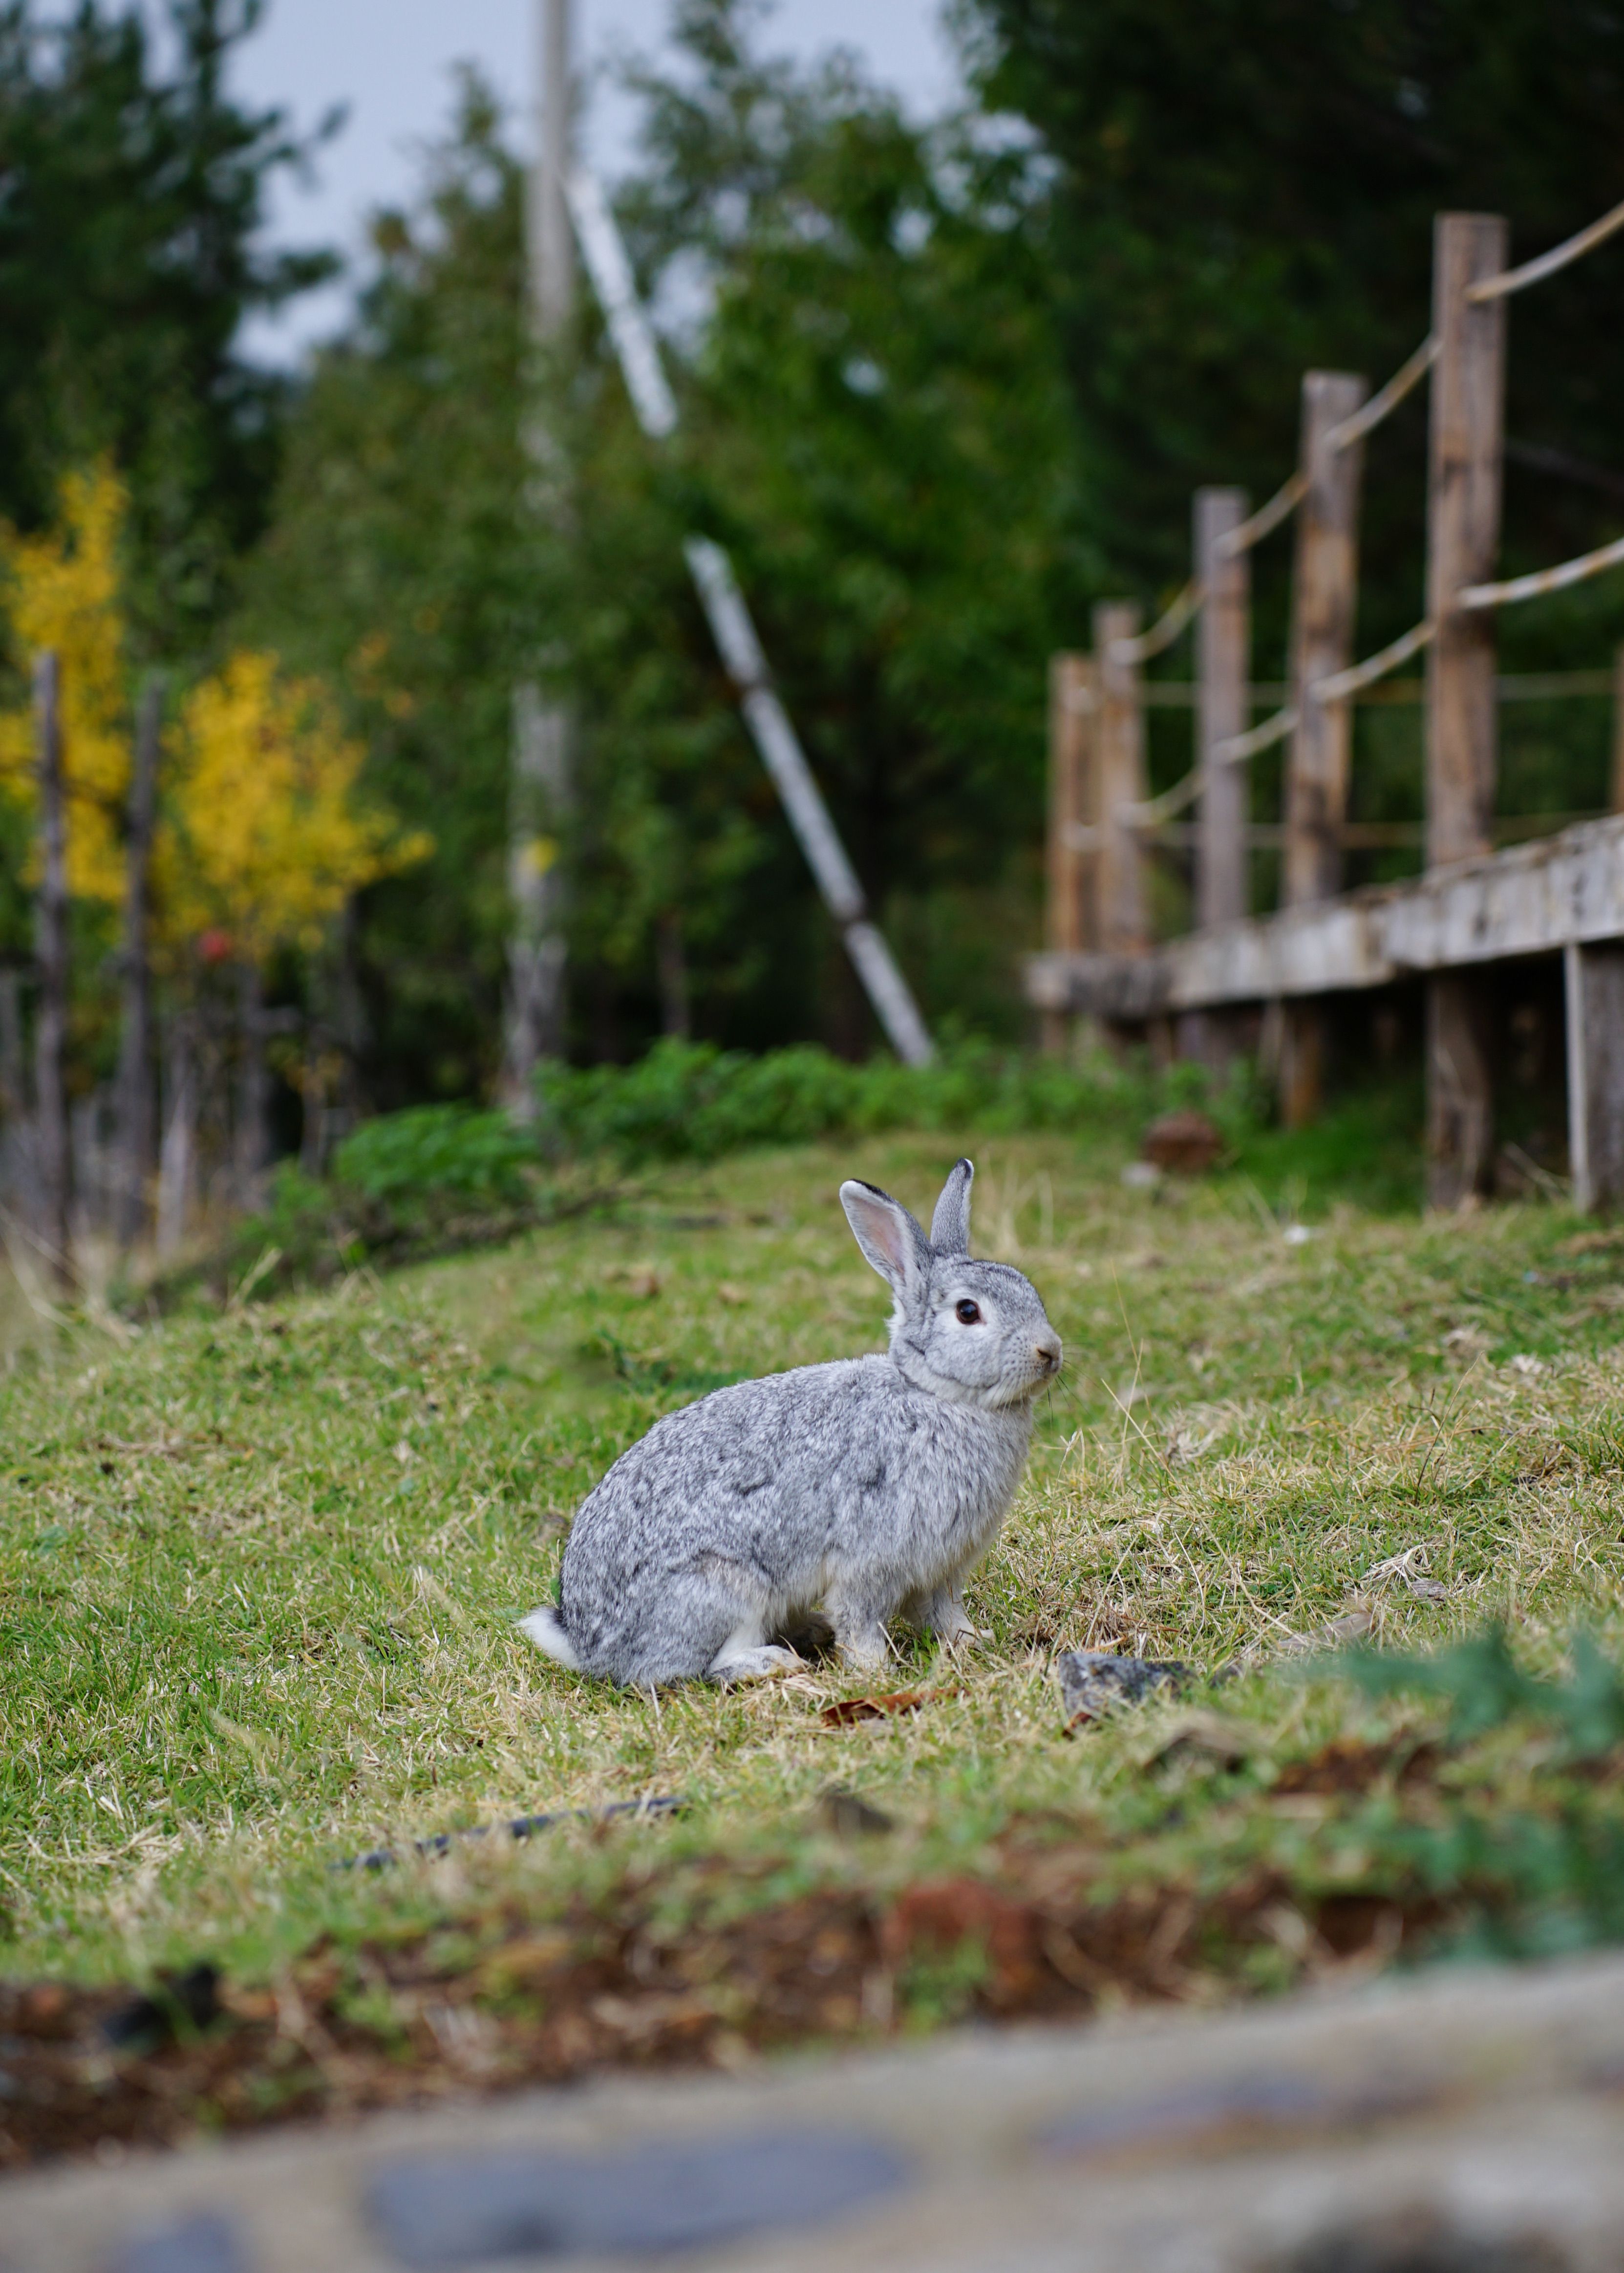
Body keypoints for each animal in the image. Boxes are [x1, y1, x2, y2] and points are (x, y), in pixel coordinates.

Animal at [518, 1157, 1062, 1689]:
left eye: (1028, 1289)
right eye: (968, 1311)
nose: (1050, 1351)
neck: (935, 1393)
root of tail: (590, 1644)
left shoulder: (942, 1569)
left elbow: (943, 1614)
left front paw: (974, 1642)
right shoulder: (872, 1559)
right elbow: (860, 1618)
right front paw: (877, 1671)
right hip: (727, 1588)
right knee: (698, 1669)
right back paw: (777, 1662)